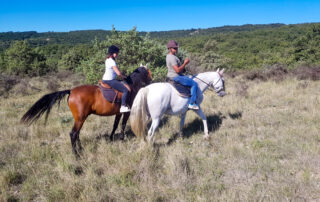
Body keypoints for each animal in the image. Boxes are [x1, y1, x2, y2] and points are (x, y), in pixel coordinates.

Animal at [20, 65, 152, 155]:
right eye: (148, 73)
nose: (151, 80)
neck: (130, 86)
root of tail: (71, 91)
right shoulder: (126, 112)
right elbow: (123, 125)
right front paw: (121, 139)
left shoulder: (119, 113)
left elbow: (115, 125)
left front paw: (111, 138)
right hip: (80, 118)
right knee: (73, 133)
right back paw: (76, 154)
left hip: (80, 118)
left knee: (77, 133)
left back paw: (80, 149)